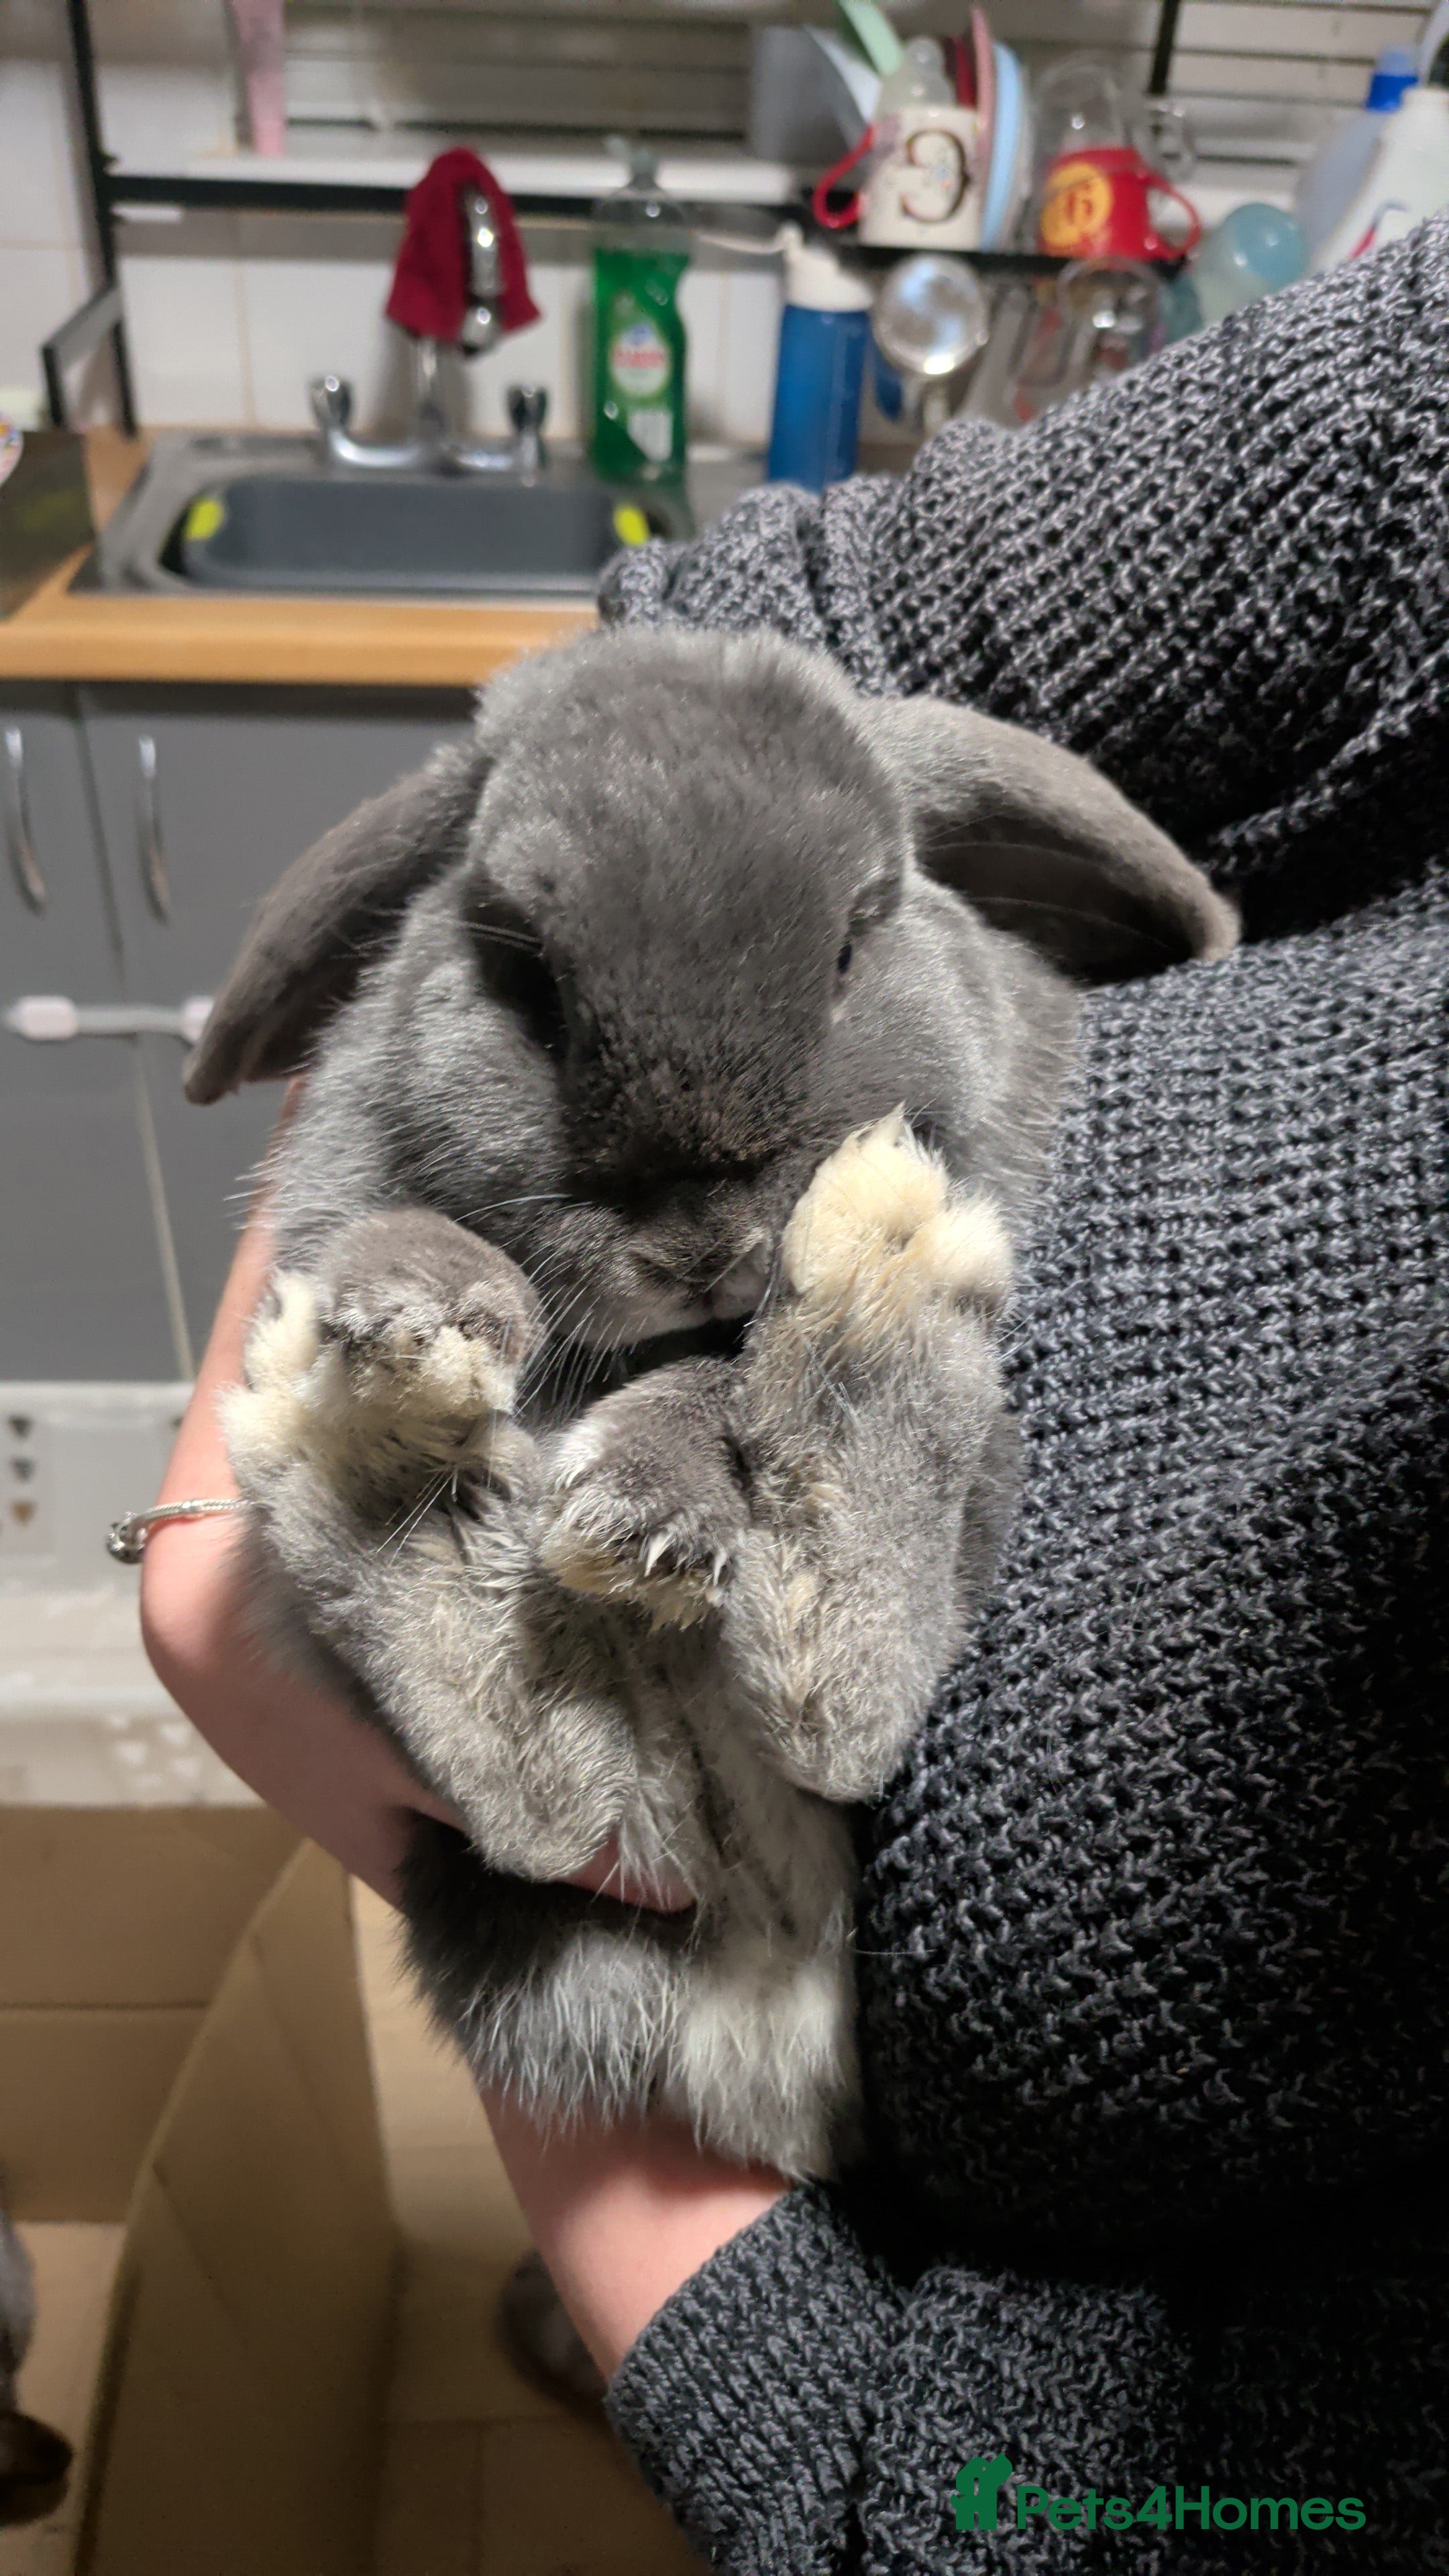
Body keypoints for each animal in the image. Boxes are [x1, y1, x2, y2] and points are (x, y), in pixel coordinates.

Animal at [186, 626, 1236, 2179]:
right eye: (528, 979)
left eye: (859, 935)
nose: (698, 1237)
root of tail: (760, 1991)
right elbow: (395, 1247)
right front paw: (417, 1298)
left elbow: (702, 1388)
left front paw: (642, 1513)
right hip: (501, 1844)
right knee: (536, 1792)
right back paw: (375, 1449)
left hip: (980, 1477)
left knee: (841, 1714)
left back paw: (880, 1284)